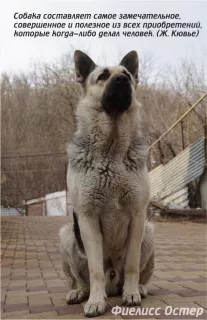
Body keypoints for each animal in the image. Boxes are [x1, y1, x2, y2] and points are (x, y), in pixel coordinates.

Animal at [59, 50, 154, 318]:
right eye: (102, 76)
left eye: (128, 75)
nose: (122, 81)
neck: (111, 151)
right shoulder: (88, 218)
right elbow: (95, 271)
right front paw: (95, 302)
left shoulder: (138, 216)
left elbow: (132, 264)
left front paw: (131, 293)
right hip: (67, 235)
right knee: (81, 278)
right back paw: (81, 292)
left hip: (149, 232)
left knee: (137, 271)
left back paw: (138, 288)